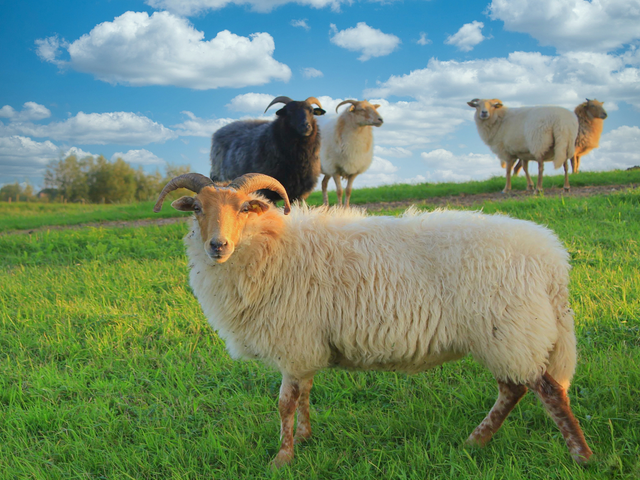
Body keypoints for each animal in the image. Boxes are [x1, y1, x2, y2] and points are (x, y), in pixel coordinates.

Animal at [153, 172, 593, 467]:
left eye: (245, 208)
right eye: (197, 209)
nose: (217, 245)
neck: (268, 245)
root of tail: (552, 259)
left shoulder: (293, 340)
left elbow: (284, 402)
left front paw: (282, 458)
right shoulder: (307, 342)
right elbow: (306, 393)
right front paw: (306, 439)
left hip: (510, 328)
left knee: (546, 390)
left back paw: (581, 455)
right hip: (509, 332)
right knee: (514, 388)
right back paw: (476, 441)